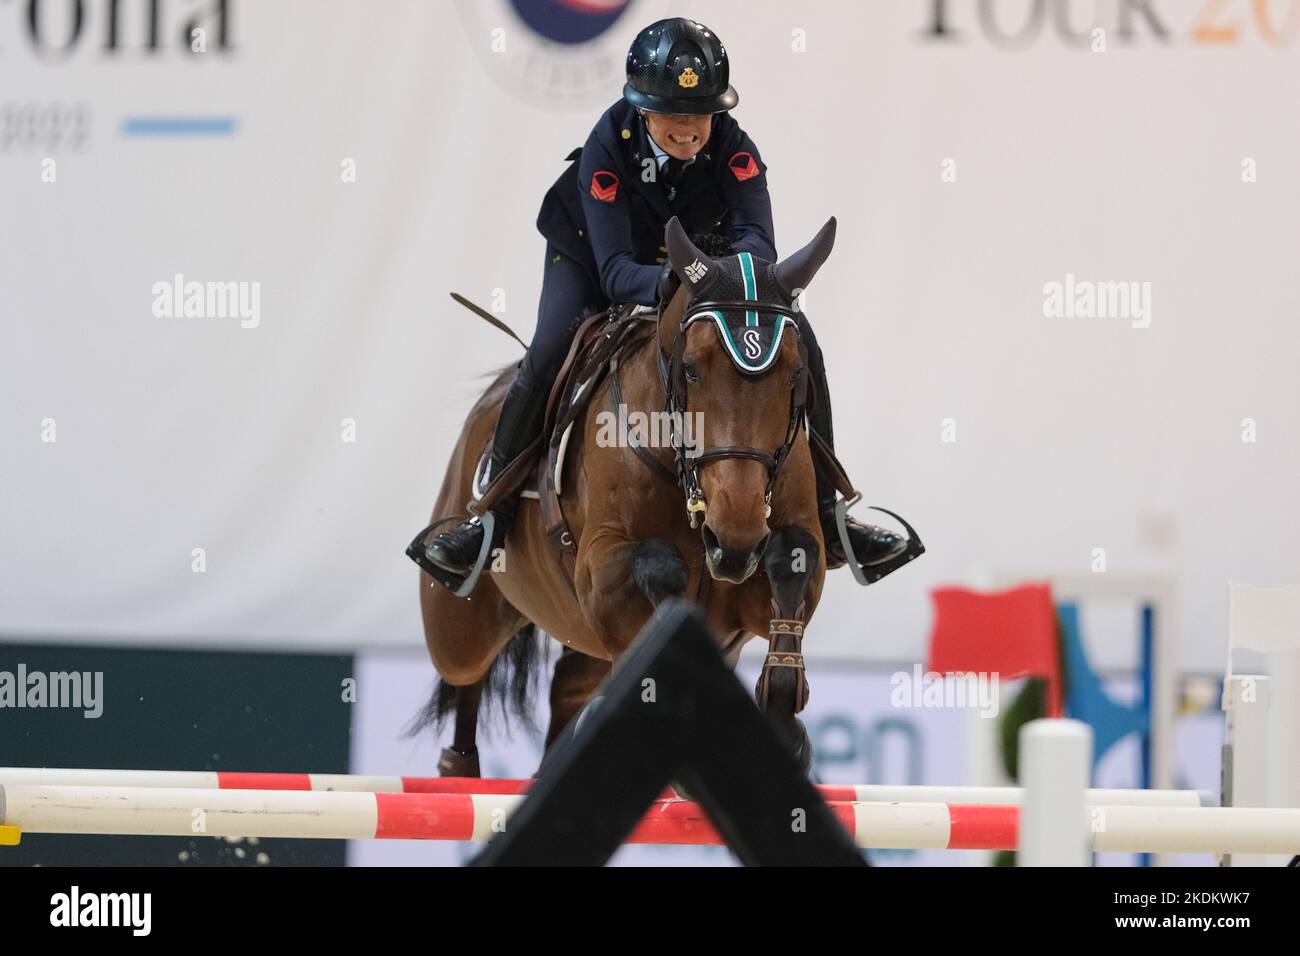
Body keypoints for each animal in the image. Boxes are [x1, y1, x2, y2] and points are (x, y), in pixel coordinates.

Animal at [413, 217, 842, 780]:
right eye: (691, 368)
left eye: (796, 373)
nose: (734, 537)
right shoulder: (600, 573)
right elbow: (659, 564)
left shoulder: (761, 575)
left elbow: (791, 559)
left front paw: (784, 728)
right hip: (459, 624)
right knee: (467, 672)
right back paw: (460, 765)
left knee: (568, 690)